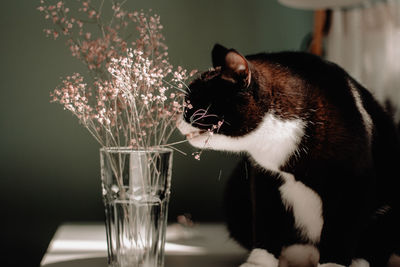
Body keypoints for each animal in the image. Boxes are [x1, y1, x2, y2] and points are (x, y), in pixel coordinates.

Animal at [178, 44, 400, 267]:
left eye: (193, 102)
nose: (178, 119)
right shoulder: (265, 178)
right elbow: (266, 219)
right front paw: (259, 261)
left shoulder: (352, 182)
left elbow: (341, 227)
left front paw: (332, 263)